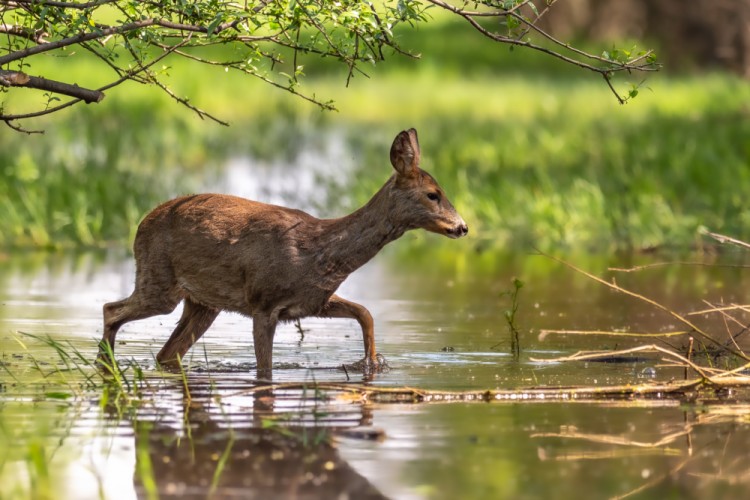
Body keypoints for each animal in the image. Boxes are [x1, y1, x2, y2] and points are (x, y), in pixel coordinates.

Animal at [97, 129, 468, 376]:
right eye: (434, 194)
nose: (462, 227)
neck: (320, 250)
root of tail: (143, 222)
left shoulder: (312, 301)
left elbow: (364, 313)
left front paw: (371, 363)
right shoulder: (263, 302)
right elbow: (266, 370)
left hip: (202, 303)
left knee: (167, 354)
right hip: (158, 278)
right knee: (111, 309)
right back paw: (105, 365)